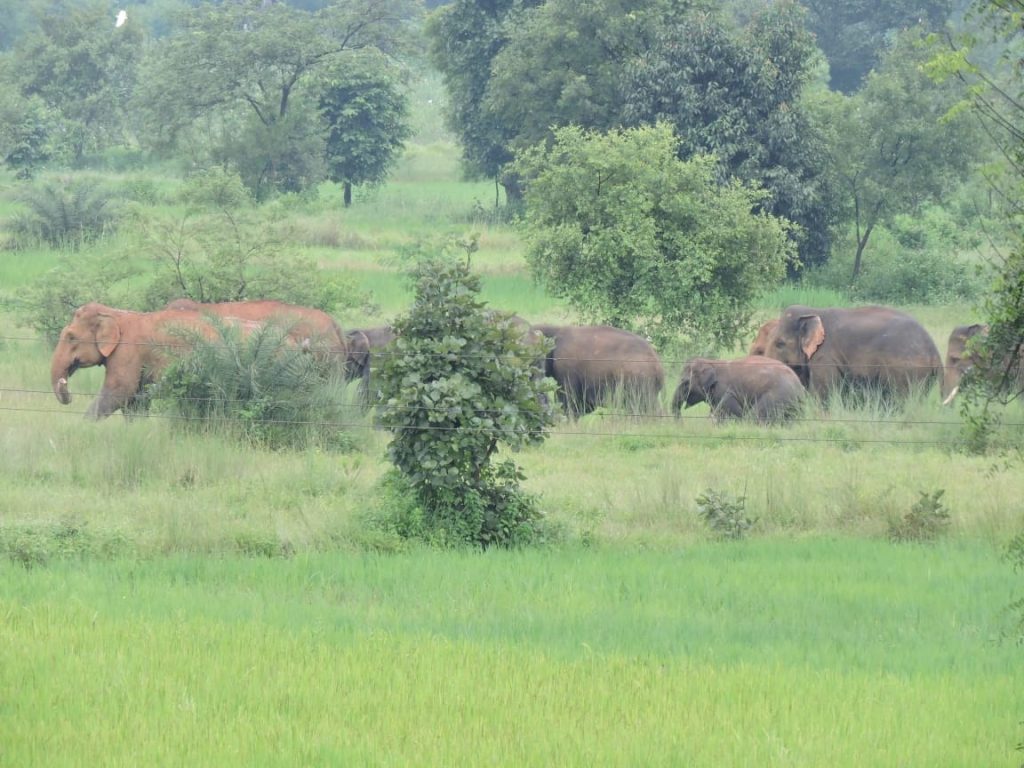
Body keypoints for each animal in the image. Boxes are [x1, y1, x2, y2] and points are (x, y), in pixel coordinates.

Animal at [51, 303, 226, 421]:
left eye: (71, 337)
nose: (64, 384)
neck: (112, 313)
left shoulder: (127, 349)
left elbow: (121, 389)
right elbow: (135, 399)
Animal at [671, 356, 806, 423]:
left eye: (685, 383)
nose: (681, 424)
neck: (712, 362)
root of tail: (799, 387)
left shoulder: (724, 390)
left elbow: (731, 410)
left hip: (777, 395)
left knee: (755, 416)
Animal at [761, 305, 942, 403]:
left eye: (780, 344)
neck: (813, 311)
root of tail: (934, 350)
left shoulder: (825, 356)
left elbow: (822, 392)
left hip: (905, 369)